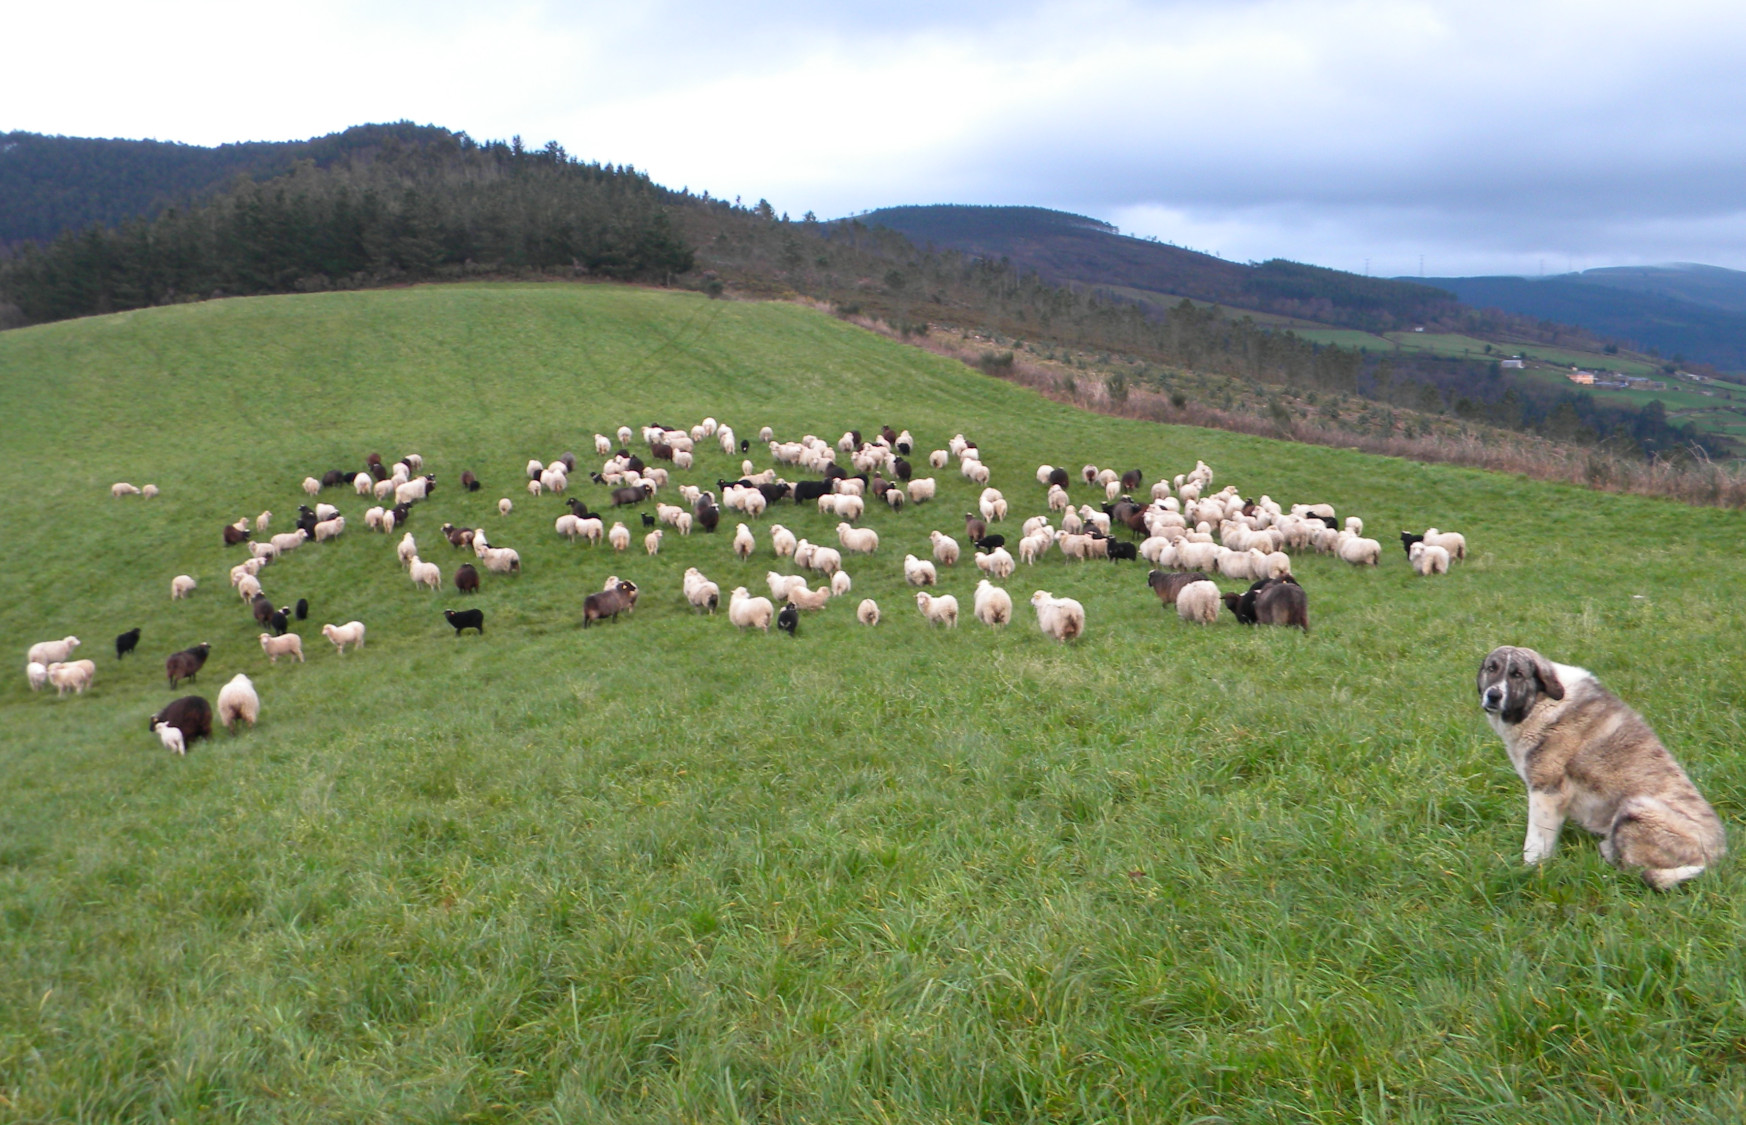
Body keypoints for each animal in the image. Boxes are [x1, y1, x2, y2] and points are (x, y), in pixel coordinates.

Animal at [1480, 646, 1725, 890]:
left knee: (1634, 869)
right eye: (1492, 668)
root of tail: (1716, 859)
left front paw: (1530, 871)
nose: (1493, 695)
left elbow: (1535, 843)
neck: (1540, 702)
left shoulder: (1546, 791)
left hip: (1636, 806)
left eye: (1517, 674)